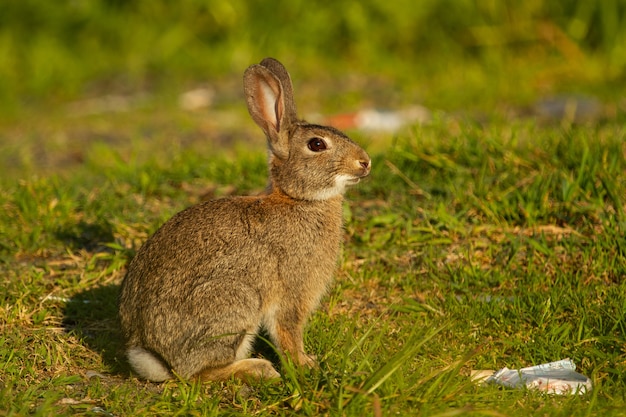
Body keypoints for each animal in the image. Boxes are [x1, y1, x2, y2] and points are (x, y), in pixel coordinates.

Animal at [119, 57, 368, 382]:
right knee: (197, 373)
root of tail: (154, 356)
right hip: (235, 302)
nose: (365, 162)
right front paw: (305, 365)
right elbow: (288, 332)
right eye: (317, 145)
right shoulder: (292, 292)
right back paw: (259, 368)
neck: (297, 199)